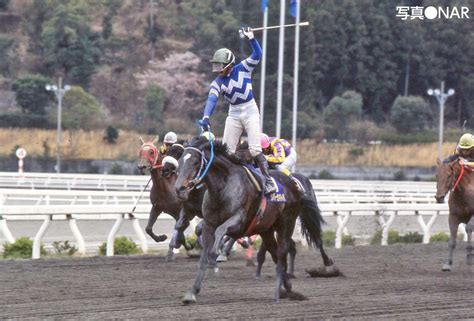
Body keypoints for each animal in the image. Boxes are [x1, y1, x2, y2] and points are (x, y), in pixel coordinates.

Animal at [174, 137, 334, 302]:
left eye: (195, 162)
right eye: (179, 161)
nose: (179, 189)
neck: (223, 187)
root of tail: (294, 185)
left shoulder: (239, 220)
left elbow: (220, 233)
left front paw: (217, 255)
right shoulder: (208, 224)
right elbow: (203, 255)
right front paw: (192, 292)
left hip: (287, 223)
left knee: (290, 250)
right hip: (267, 230)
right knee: (276, 254)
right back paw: (288, 286)